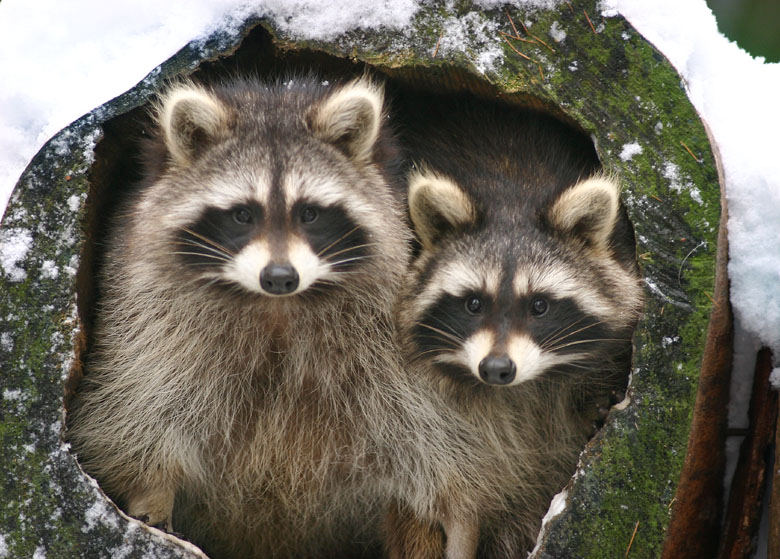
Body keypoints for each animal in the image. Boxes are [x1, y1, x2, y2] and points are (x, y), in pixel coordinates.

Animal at [66, 75, 414, 559]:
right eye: (242, 214)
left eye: (310, 213)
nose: (280, 277)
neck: (276, 308)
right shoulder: (144, 318)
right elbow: (134, 408)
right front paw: (151, 493)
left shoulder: (385, 339)